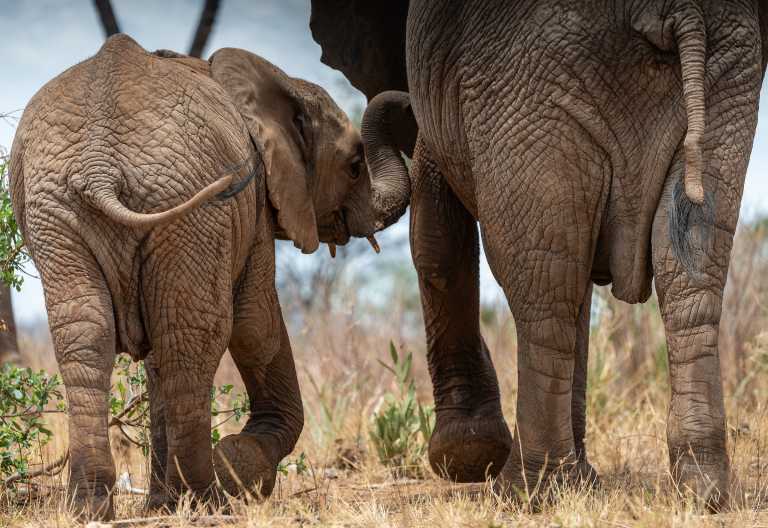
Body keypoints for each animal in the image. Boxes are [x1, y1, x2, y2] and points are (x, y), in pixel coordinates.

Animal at [9, 34, 409, 519]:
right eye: (354, 164)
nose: (405, 100)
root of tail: (99, 163)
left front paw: (164, 504)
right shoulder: (256, 203)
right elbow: (256, 327)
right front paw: (236, 465)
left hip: (58, 213)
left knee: (89, 335)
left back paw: (93, 508)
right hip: (192, 208)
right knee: (194, 334)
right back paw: (206, 500)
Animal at [311, 0, 768, 508]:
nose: (403, 101)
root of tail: (672, 12)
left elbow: (435, 239)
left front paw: (467, 455)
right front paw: (582, 475)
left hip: (529, 86)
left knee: (544, 287)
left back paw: (529, 491)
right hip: (719, 75)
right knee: (679, 270)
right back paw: (701, 491)